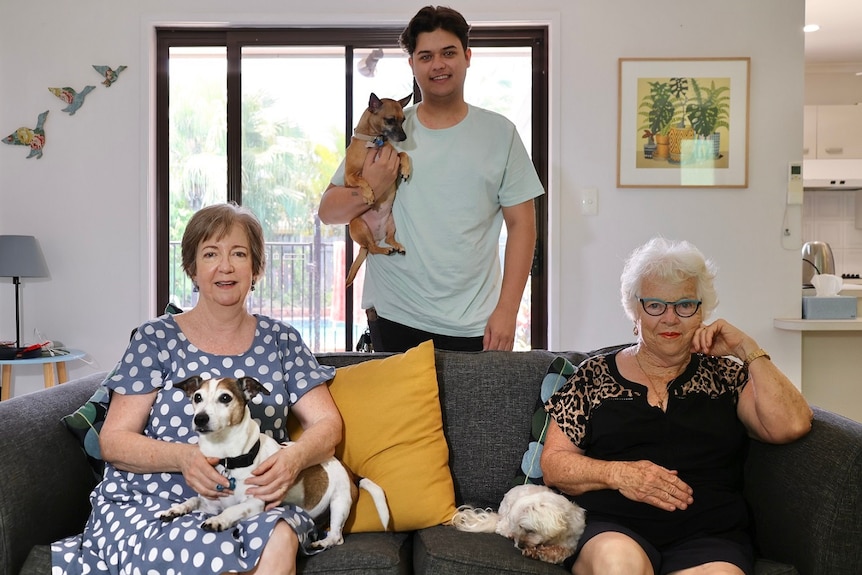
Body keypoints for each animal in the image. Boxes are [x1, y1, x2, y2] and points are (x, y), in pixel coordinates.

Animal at [344, 93, 412, 288]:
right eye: (389, 120)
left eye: (403, 120)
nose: (404, 137)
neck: (376, 142)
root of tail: (374, 237)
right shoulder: (350, 176)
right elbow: (362, 180)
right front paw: (368, 194)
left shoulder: (394, 158)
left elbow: (403, 154)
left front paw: (406, 169)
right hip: (360, 225)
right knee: (373, 249)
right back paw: (385, 249)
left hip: (391, 222)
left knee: (388, 239)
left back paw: (396, 246)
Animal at [452, 484, 588, 564]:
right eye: (518, 529)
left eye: (529, 530)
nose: (520, 545)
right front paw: (532, 551)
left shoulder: (571, 542)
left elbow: (561, 551)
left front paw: (543, 553)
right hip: (506, 517)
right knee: (500, 528)